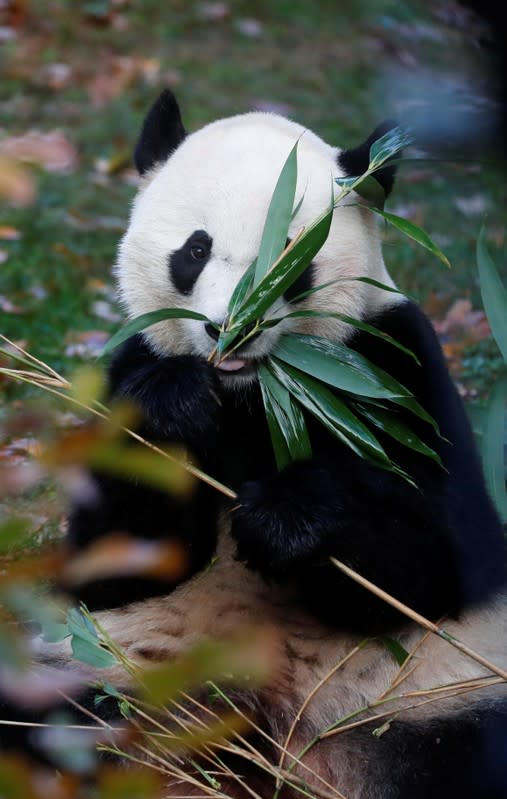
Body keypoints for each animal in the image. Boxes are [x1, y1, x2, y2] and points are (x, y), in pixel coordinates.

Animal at [5, 90, 507, 796]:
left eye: (294, 258)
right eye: (195, 250)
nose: (231, 330)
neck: (252, 396)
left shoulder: (393, 369)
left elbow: (443, 554)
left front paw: (286, 516)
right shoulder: (130, 365)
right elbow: (111, 556)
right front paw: (176, 408)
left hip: (427, 703)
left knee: (459, 757)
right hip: (103, 677)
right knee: (47, 725)